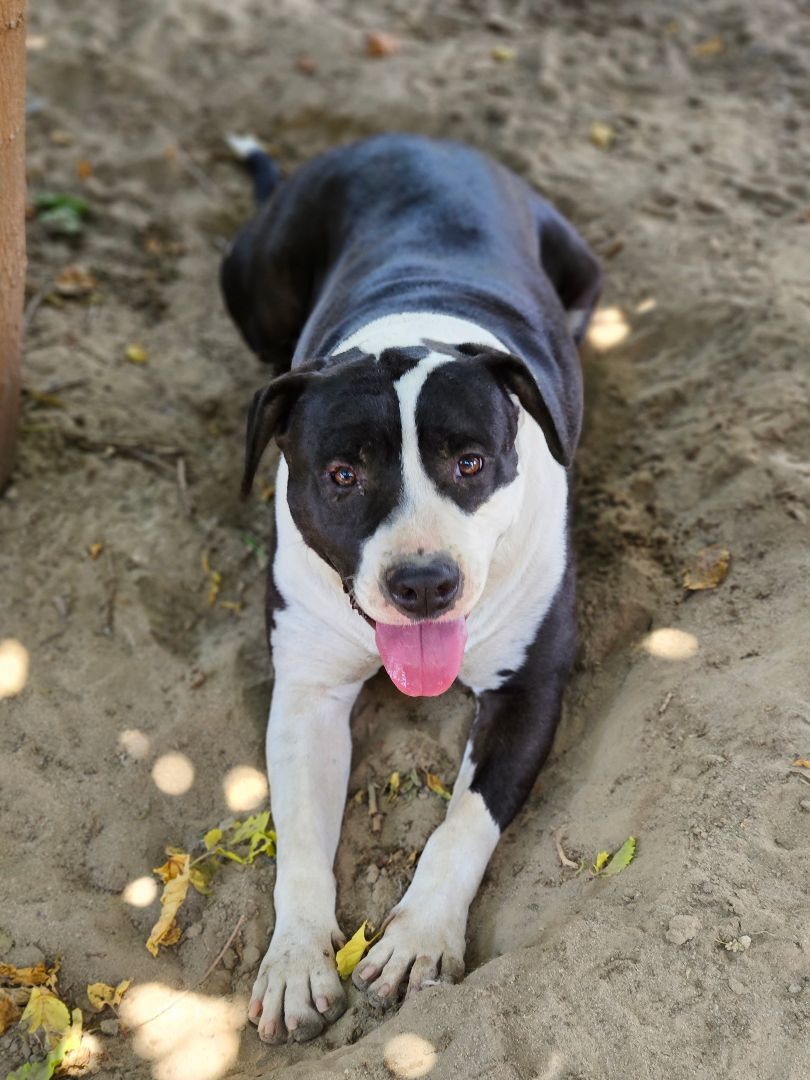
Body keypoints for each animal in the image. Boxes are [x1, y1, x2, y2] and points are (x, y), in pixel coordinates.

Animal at [222, 130, 604, 1041]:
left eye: (470, 462)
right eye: (342, 474)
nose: (424, 583)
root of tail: (408, 138)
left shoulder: (528, 690)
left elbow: (465, 822)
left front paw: (421, 939)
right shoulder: (307, 693)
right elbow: (299, 839)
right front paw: (296, 959)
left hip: (581, 264)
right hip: (253, 282)